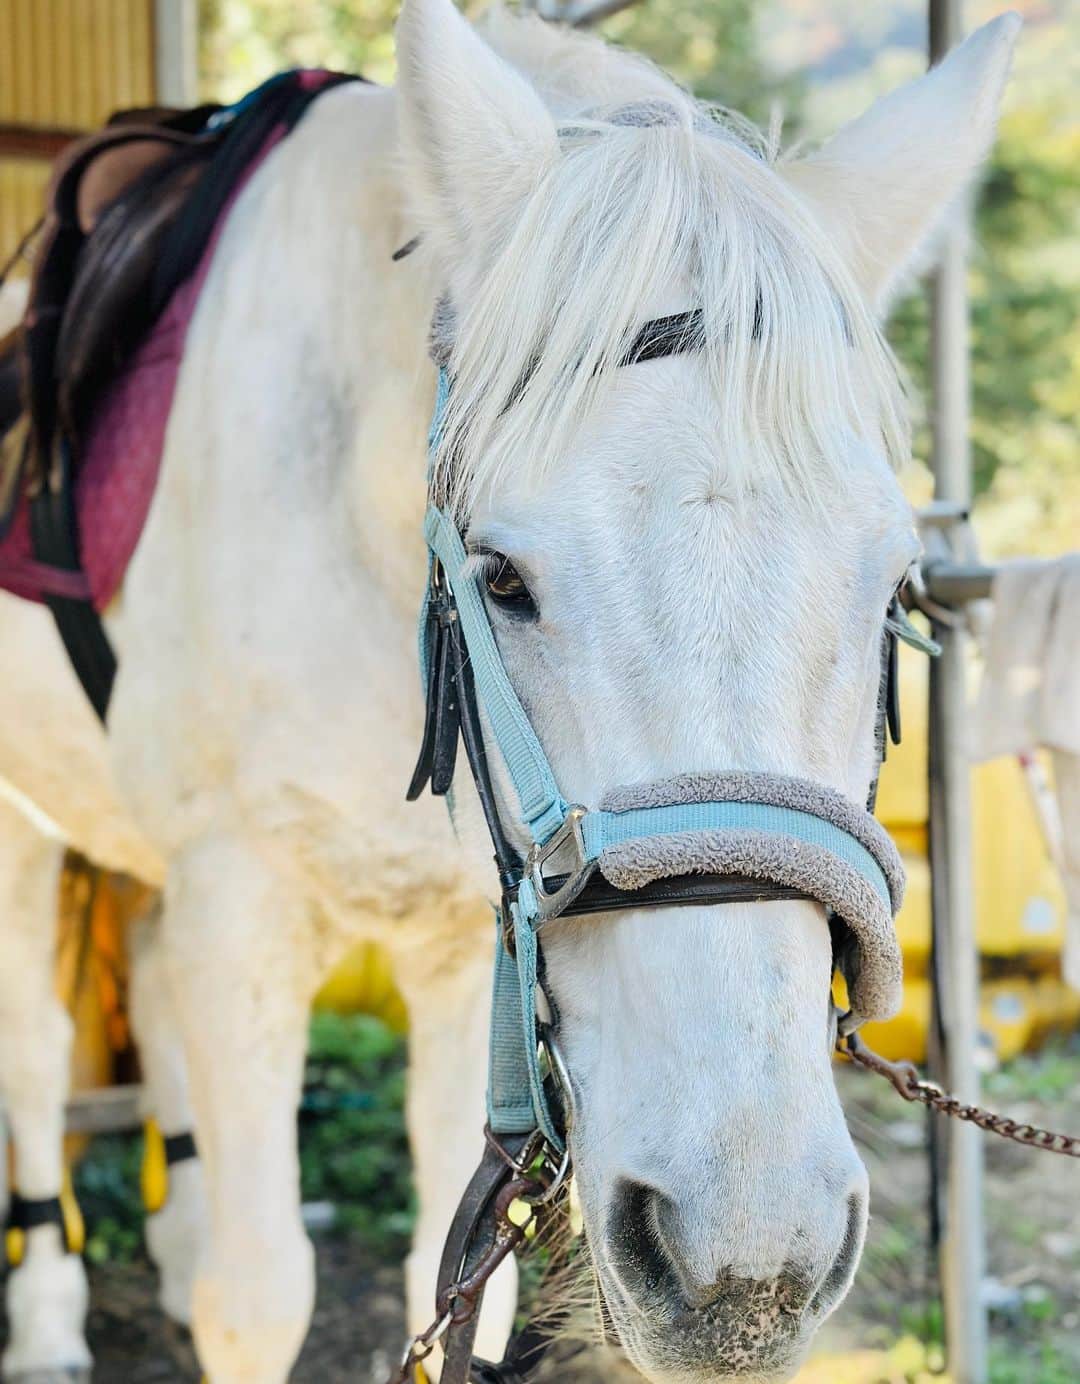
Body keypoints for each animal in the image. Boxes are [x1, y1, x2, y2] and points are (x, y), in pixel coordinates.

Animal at [0, 2, 1019, 1379]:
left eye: (898, 590)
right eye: (501, 577)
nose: (745, 1267)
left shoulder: (454, 945)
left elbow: (453, 1281)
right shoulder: (240, 904)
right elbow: (257, 1294)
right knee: (39, 1052)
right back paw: (51, 1316)